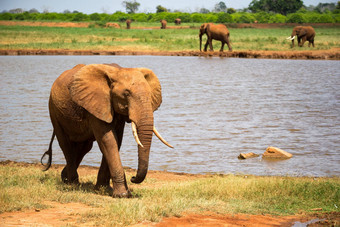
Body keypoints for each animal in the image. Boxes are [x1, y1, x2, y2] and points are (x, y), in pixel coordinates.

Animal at [40, 63, 173, 197]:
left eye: (150, 95)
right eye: (126, 94)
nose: (133, 178)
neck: (118, 71)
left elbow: (117, 140)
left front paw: (104, 189)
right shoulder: (97, 103)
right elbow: (108, 140)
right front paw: (122, 195)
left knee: (84, 147)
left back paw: (65, 178)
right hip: (54, 111)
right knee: (66, 144)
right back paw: (73, 184)